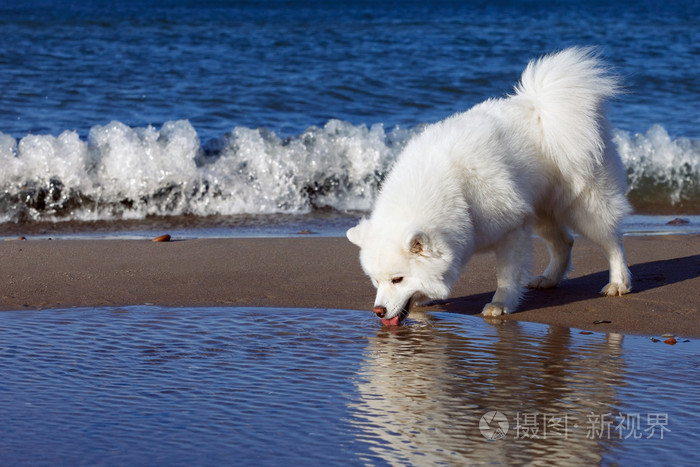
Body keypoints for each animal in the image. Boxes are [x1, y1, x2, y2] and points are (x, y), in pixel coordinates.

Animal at [348, 46, 632, 326]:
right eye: (376, 280)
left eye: (398, 279)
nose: (379, 311)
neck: (455, 189)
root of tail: (544, 106)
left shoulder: (513, 228)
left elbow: (506, 275)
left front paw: (500, 304)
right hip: (541, 210)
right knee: (565, 242)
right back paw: (549, 279)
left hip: (586, 204)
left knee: (611, 241)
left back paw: (618, 283)